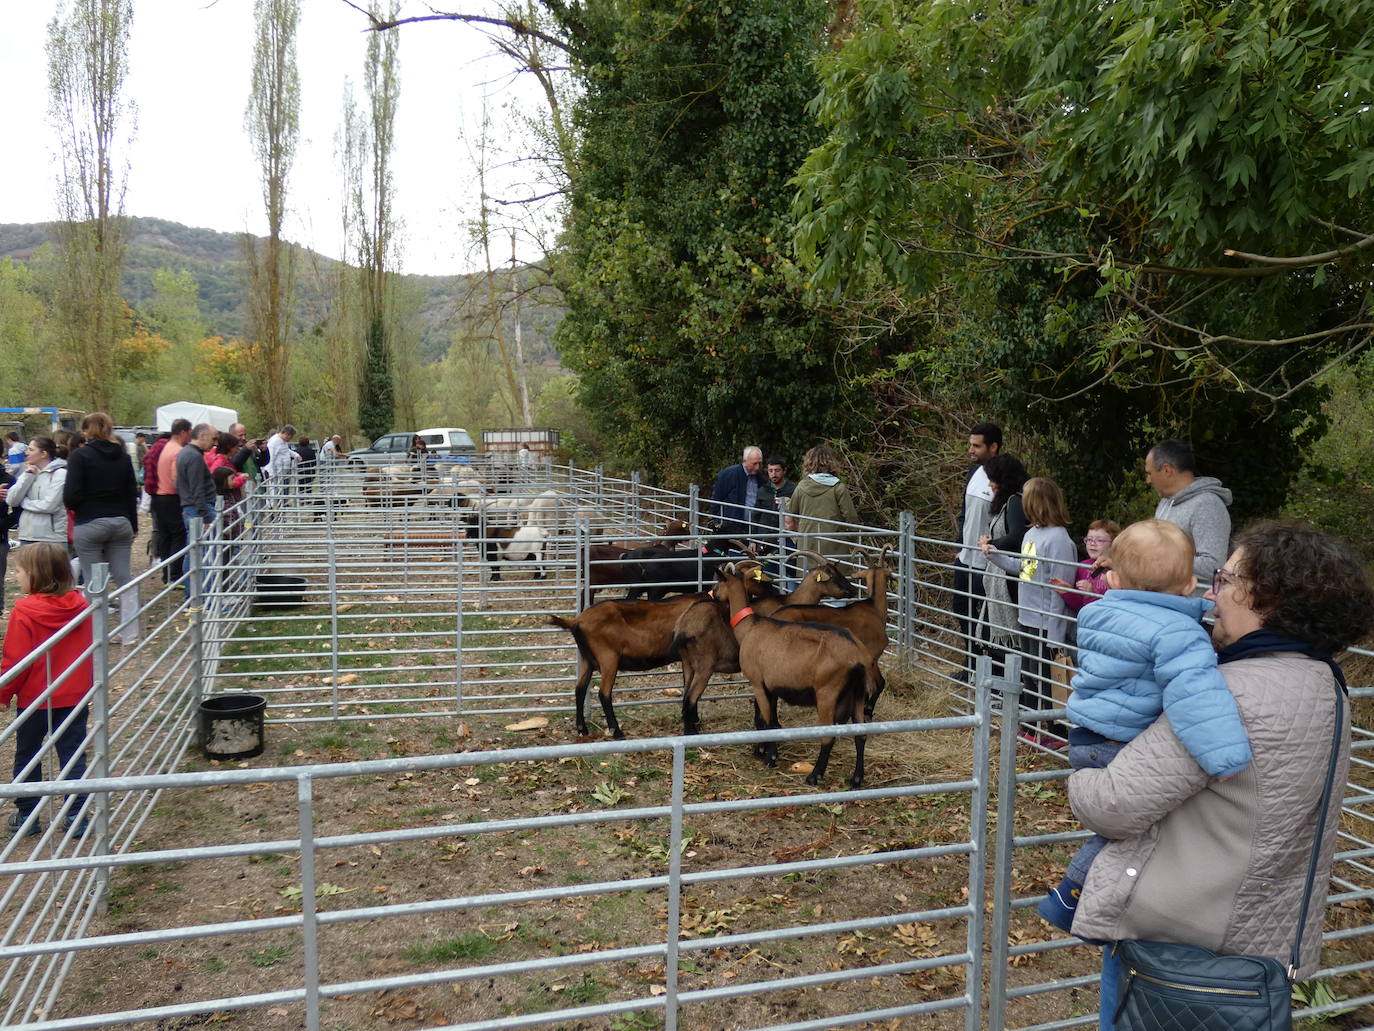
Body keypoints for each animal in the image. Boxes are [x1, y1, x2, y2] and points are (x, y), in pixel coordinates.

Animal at [544, 588, 703, 742]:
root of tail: (577, 620)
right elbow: (691, 688)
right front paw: (693, 725)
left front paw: (694, 720)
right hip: (608, 658)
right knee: (604, 694)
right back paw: (617, 732)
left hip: (586, 660)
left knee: (580, 690)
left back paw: (582, 730)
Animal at [714, 569, 873, 786]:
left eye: (718, 582)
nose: (712, 594)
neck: (749, 627)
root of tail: (856, 654)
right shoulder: (772, 686)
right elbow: (770, 720)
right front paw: (763, 750)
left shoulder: (757, 683)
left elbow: (768, 721)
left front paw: (770, 758)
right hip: (858, 693)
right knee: (861, 735)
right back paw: (856, 779)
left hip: (827, 692)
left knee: (828, 736)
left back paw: (814, 776)